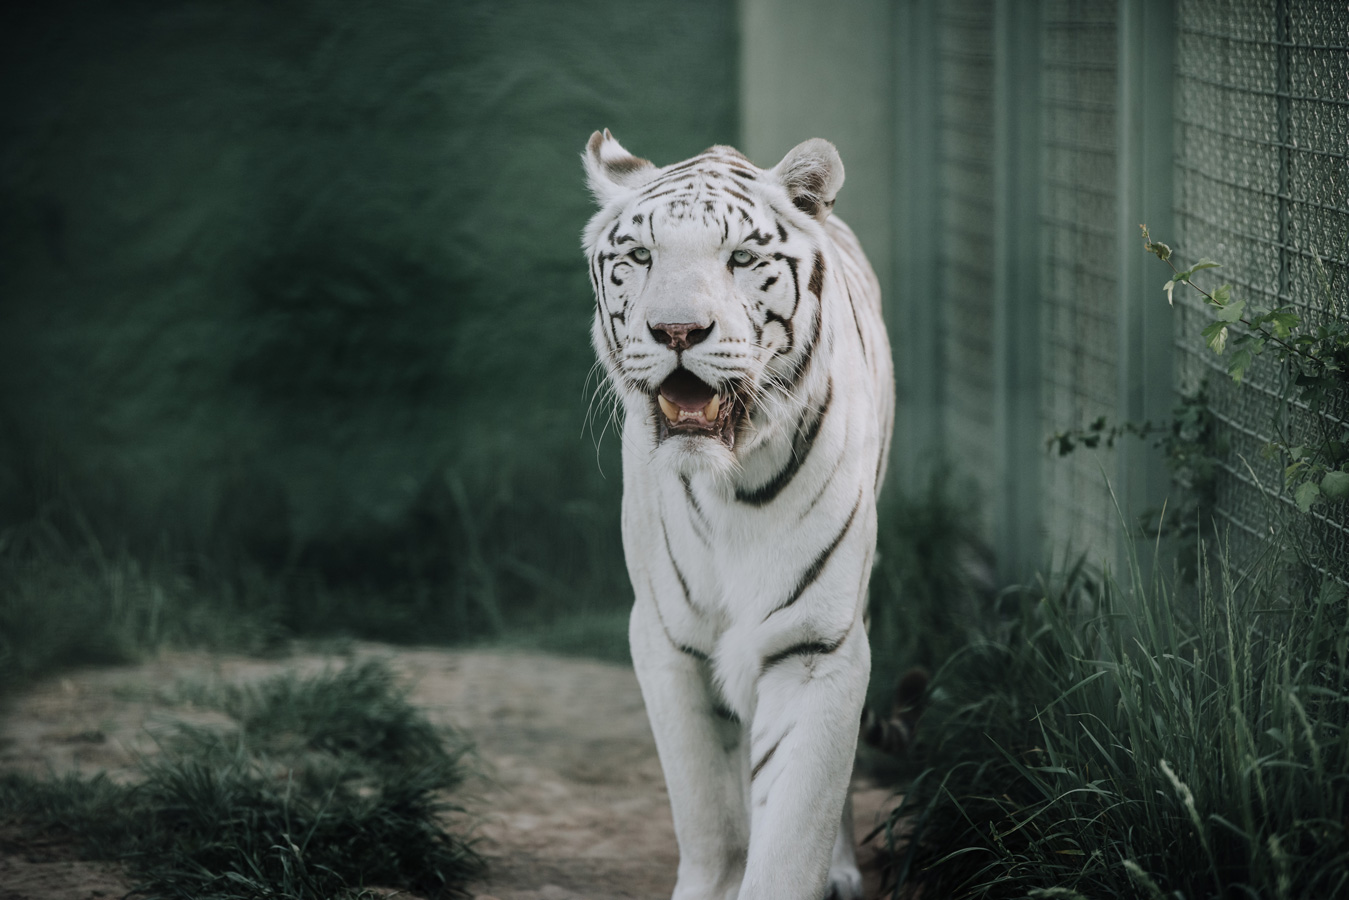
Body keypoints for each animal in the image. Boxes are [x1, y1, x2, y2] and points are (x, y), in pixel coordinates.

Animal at [582, 130, 890, 900]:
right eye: (641, 256)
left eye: (741, 259)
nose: (677, 330)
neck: (729, 488)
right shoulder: (669, 641)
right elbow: (710, 816)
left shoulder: (815, 646)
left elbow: (792, 831)